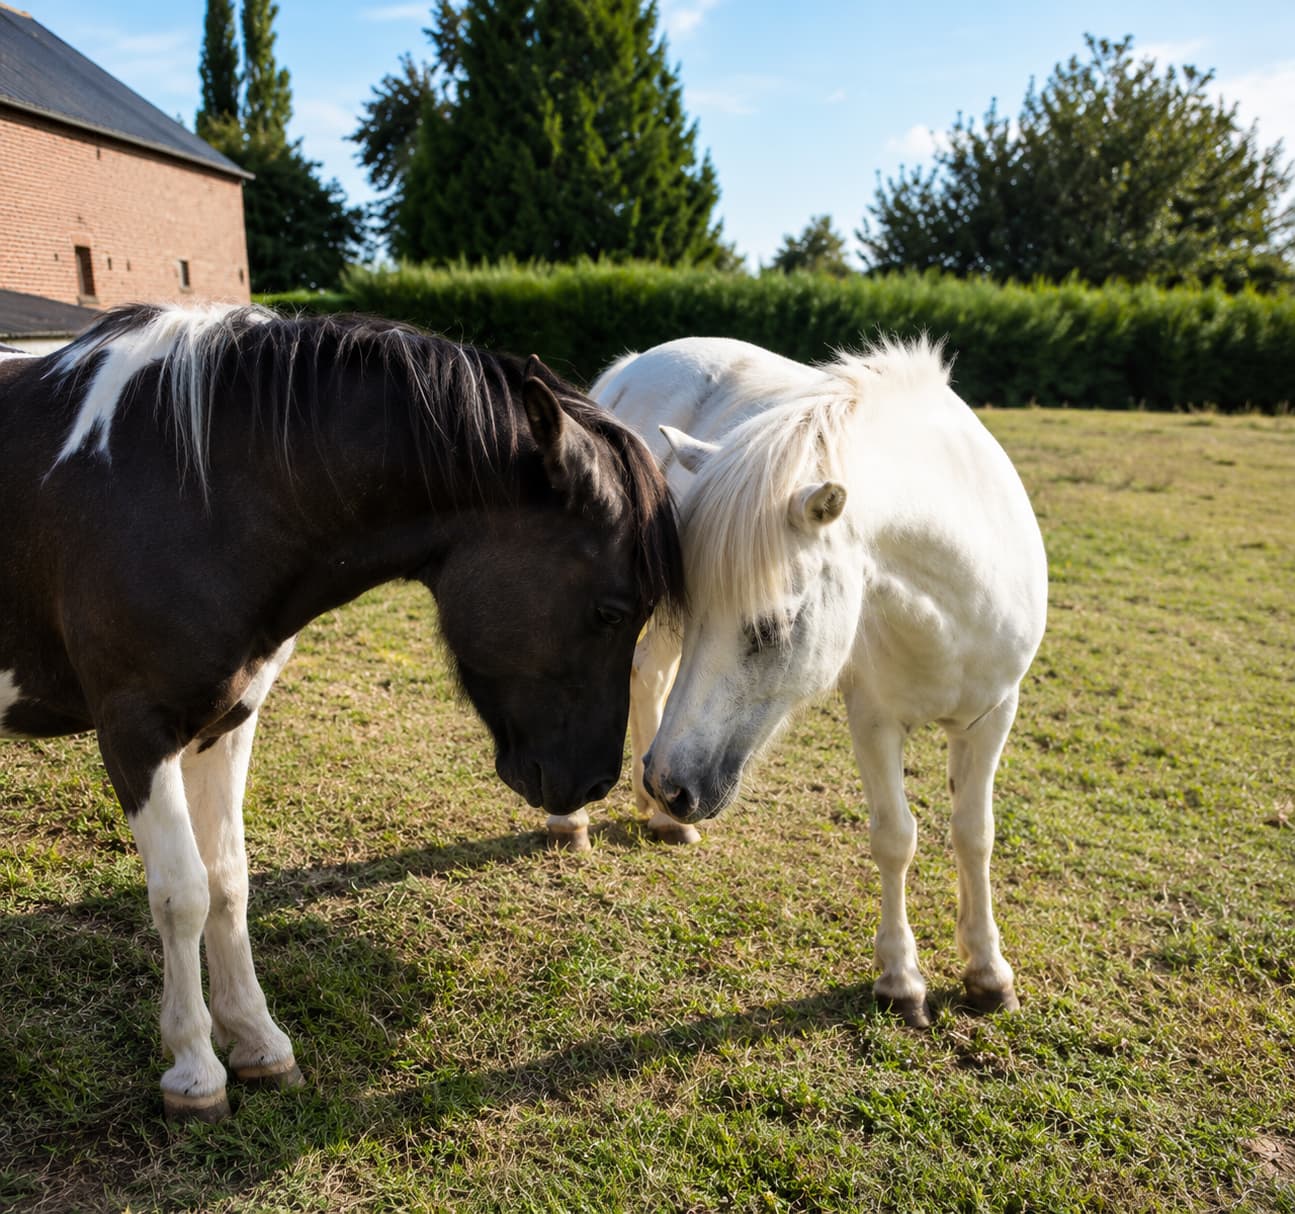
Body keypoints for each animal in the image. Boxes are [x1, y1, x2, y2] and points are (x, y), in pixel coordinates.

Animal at [0, 302, 683, 1121]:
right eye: (612, 611)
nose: (594, 783)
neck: (186, 486)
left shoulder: (223, 726)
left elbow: (228, 881)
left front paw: (258, 1043)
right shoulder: (136, 732)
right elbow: (181, 894)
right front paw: (195, 1070)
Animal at [553, 335, 1047, 1027]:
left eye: (772, 625)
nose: (670, 786)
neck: (957, 592)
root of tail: (636, 363)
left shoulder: (992, 715)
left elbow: (974, 835)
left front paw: (988, 973)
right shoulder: (873, 719)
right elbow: (895, 837)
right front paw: (900, 980)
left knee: (649, 675)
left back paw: (661, 822)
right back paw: (574, 821)